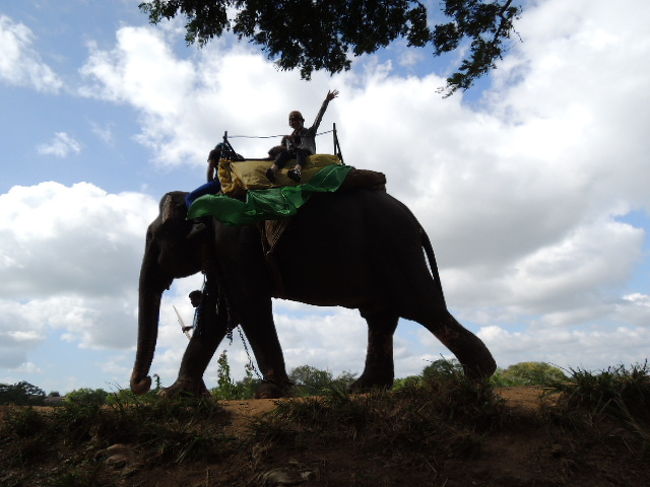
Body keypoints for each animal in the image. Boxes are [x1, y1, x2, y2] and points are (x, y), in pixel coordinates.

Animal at [132, 186, 496, 396]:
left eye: (153, 238)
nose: (144, 384)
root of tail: (415, 219)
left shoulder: (235, 242)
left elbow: (247, 303)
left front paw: (270, 392)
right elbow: (216, 314)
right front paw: (175, 396)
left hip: (394, 245)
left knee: (419, 305)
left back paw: (480, 376)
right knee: (381, 315)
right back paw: (364, 388)